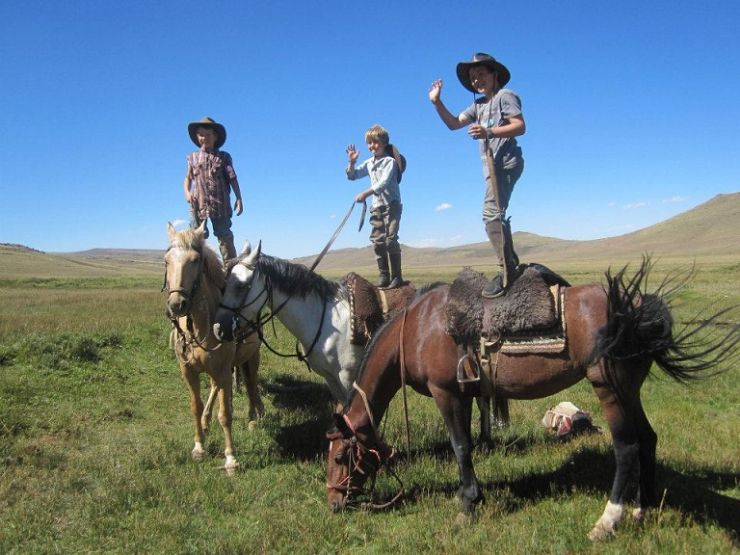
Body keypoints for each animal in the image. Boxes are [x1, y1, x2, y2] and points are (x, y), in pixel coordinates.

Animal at [165, 223, 264, 474]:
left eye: (195, 261)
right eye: (166, 260)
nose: (176, 305)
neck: (199, 327)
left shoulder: (223, 369)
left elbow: (225, 414)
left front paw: (230, 459)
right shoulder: (188, 371)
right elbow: (196, 406)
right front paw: (199, 446)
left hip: (251, 358)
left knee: (250, 383)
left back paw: (253, 416)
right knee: (215, 388)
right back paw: (207, 421)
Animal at [326, 262, 736, 544]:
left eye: (340, 456)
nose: (334, 502)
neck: (417, 329)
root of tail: (637, 308)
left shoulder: (447, 393)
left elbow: (461, 447)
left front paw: (467, 505)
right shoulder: (467, 395)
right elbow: (469, 443)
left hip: (610, 387)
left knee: (627, 447)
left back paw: (607, 522)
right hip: (632, 387)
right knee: (648, 440)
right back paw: (641, 510)